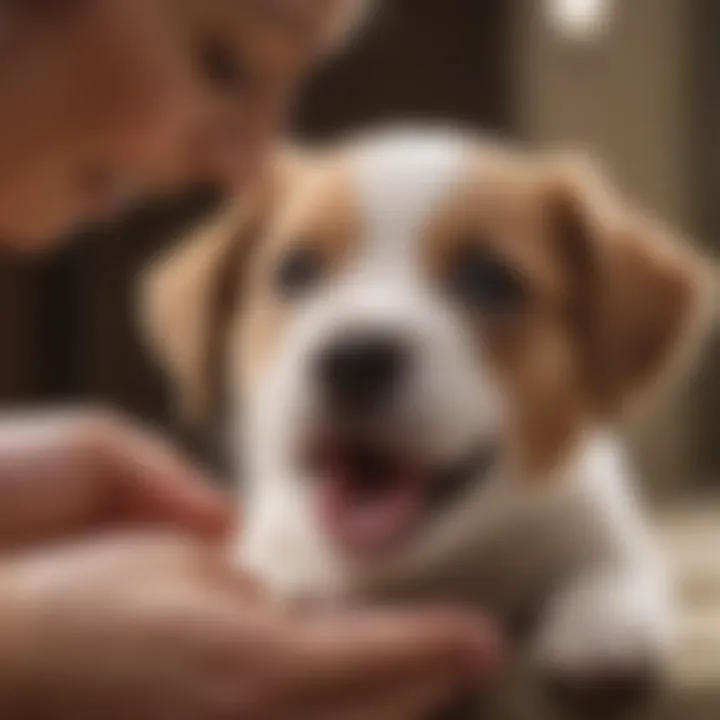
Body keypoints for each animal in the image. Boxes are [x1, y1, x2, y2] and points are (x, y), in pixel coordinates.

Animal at [138, 126, 712, 712]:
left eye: (487, 279)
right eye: (295, 269)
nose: (355, 357)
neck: (436, 563)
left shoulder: (597, 523)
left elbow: (610, 568)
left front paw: (601, 627)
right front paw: (293, 575)